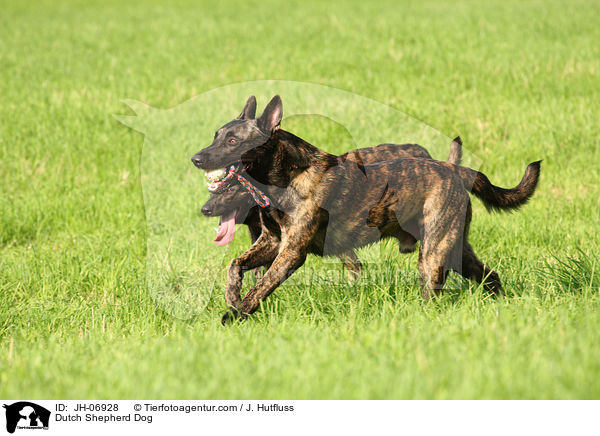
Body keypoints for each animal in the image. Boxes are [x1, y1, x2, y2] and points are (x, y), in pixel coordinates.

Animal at [191, 95, 540, 322]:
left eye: (233, 141)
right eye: (216, 136)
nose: (196, 158)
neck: (286, 177)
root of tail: (454, 170)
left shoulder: (291, 252)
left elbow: (261, 287)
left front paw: (235, 314)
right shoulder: (272, 242)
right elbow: (235, 266)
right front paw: (232, 297)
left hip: (433, 255)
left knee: (435, 292)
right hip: (455, 249)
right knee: (489, 275)